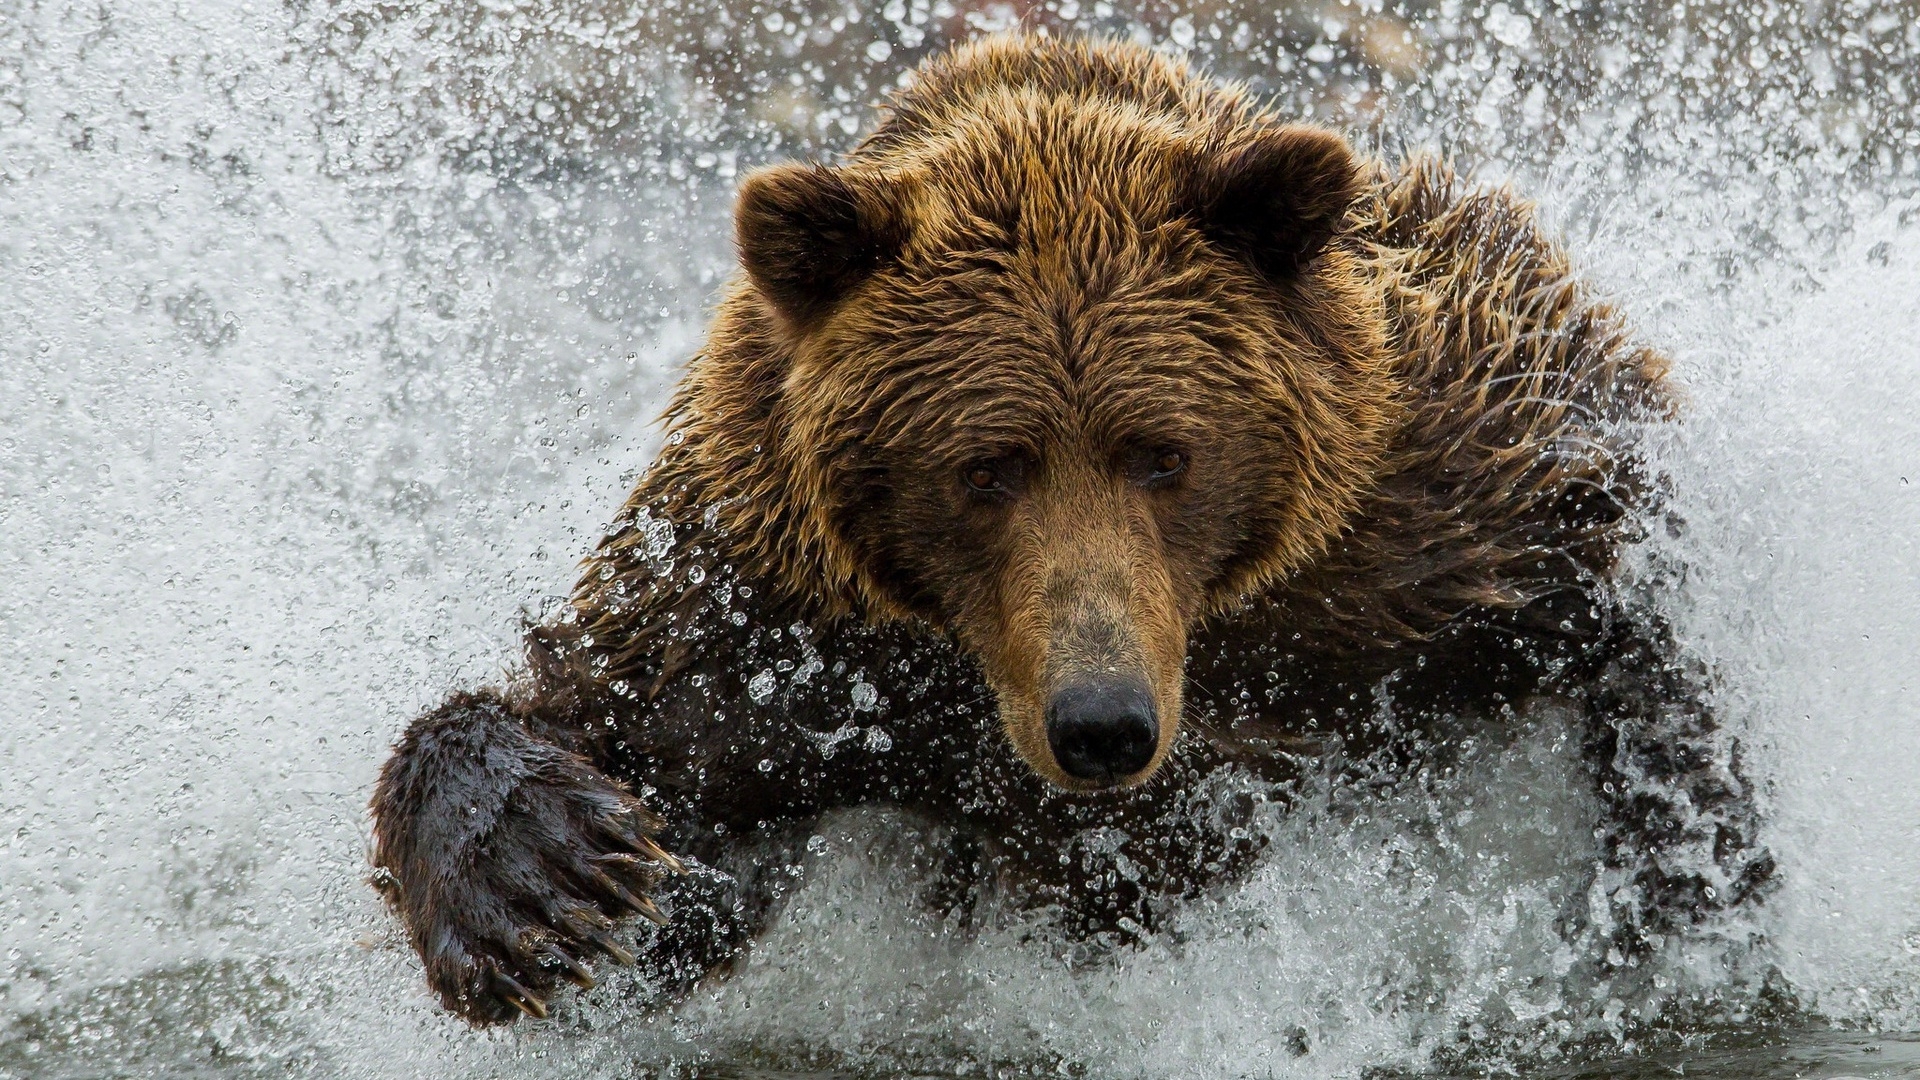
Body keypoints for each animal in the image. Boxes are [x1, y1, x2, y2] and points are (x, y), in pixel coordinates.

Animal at [366, 35, 1774, 1022]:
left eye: (1165, 454)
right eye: (986, 467)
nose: (1103, 723)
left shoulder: (1437, 494)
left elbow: (1623, 581)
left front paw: (1682, 880)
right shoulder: (776, 626)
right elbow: (630, 749)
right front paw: (543, 880)